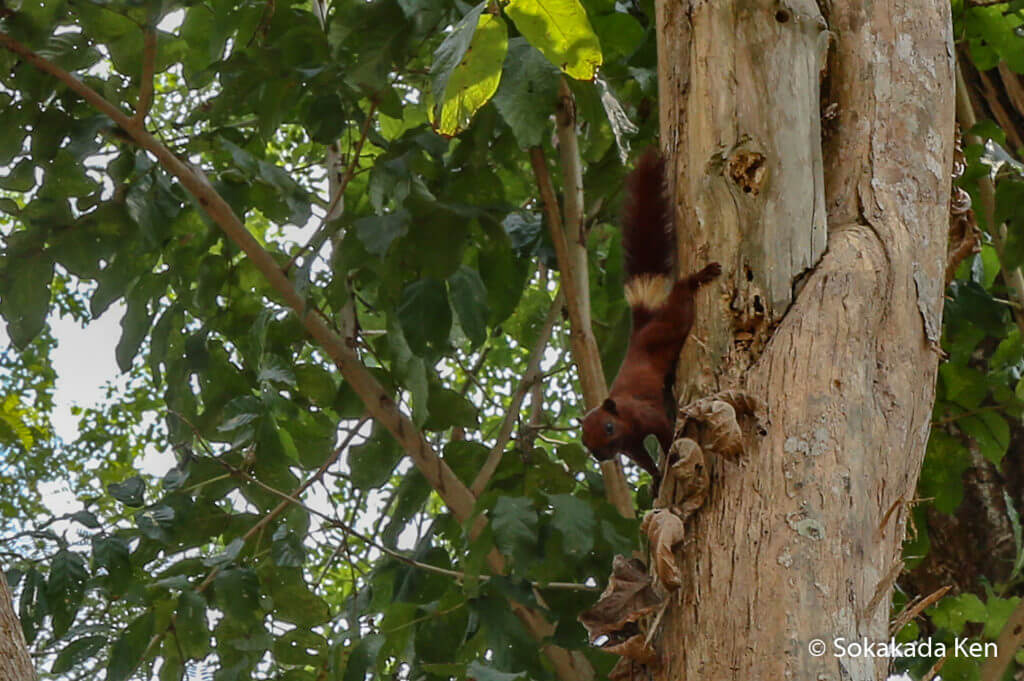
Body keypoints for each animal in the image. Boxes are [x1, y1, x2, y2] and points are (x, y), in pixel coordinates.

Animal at [581, 148, 724, 489]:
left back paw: (699, 276)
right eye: (585, 443)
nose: (603, 455)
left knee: (682, 296)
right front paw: (656, 480)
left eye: (607, 428)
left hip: (672, 323)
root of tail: (642, 325)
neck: (624, 420)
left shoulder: (646, 416)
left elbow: (664, 431)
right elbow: (644, 461)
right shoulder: (630, 446)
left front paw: (671, 452)